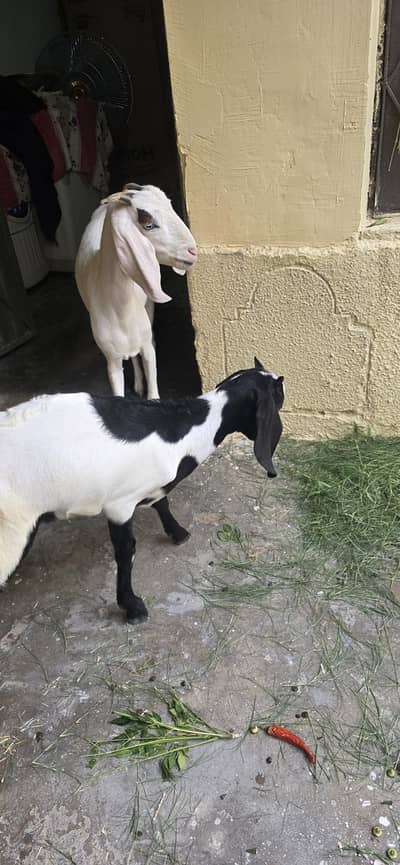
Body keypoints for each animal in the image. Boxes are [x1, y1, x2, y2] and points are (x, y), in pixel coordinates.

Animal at [0, 358, 284, 623]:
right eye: (279, 394)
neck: (184, 429)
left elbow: (161, 502)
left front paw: (178, 533)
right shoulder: (119, 504)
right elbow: (127, 550)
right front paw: (133, 607)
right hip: (11, 535)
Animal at [75, 183, 197, 399]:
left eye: (169, 205)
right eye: (148, 224)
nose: (193, 251)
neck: (118, 307)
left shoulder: (147, 347)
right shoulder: (112, 360)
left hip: (148, 309)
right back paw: (139, 385)